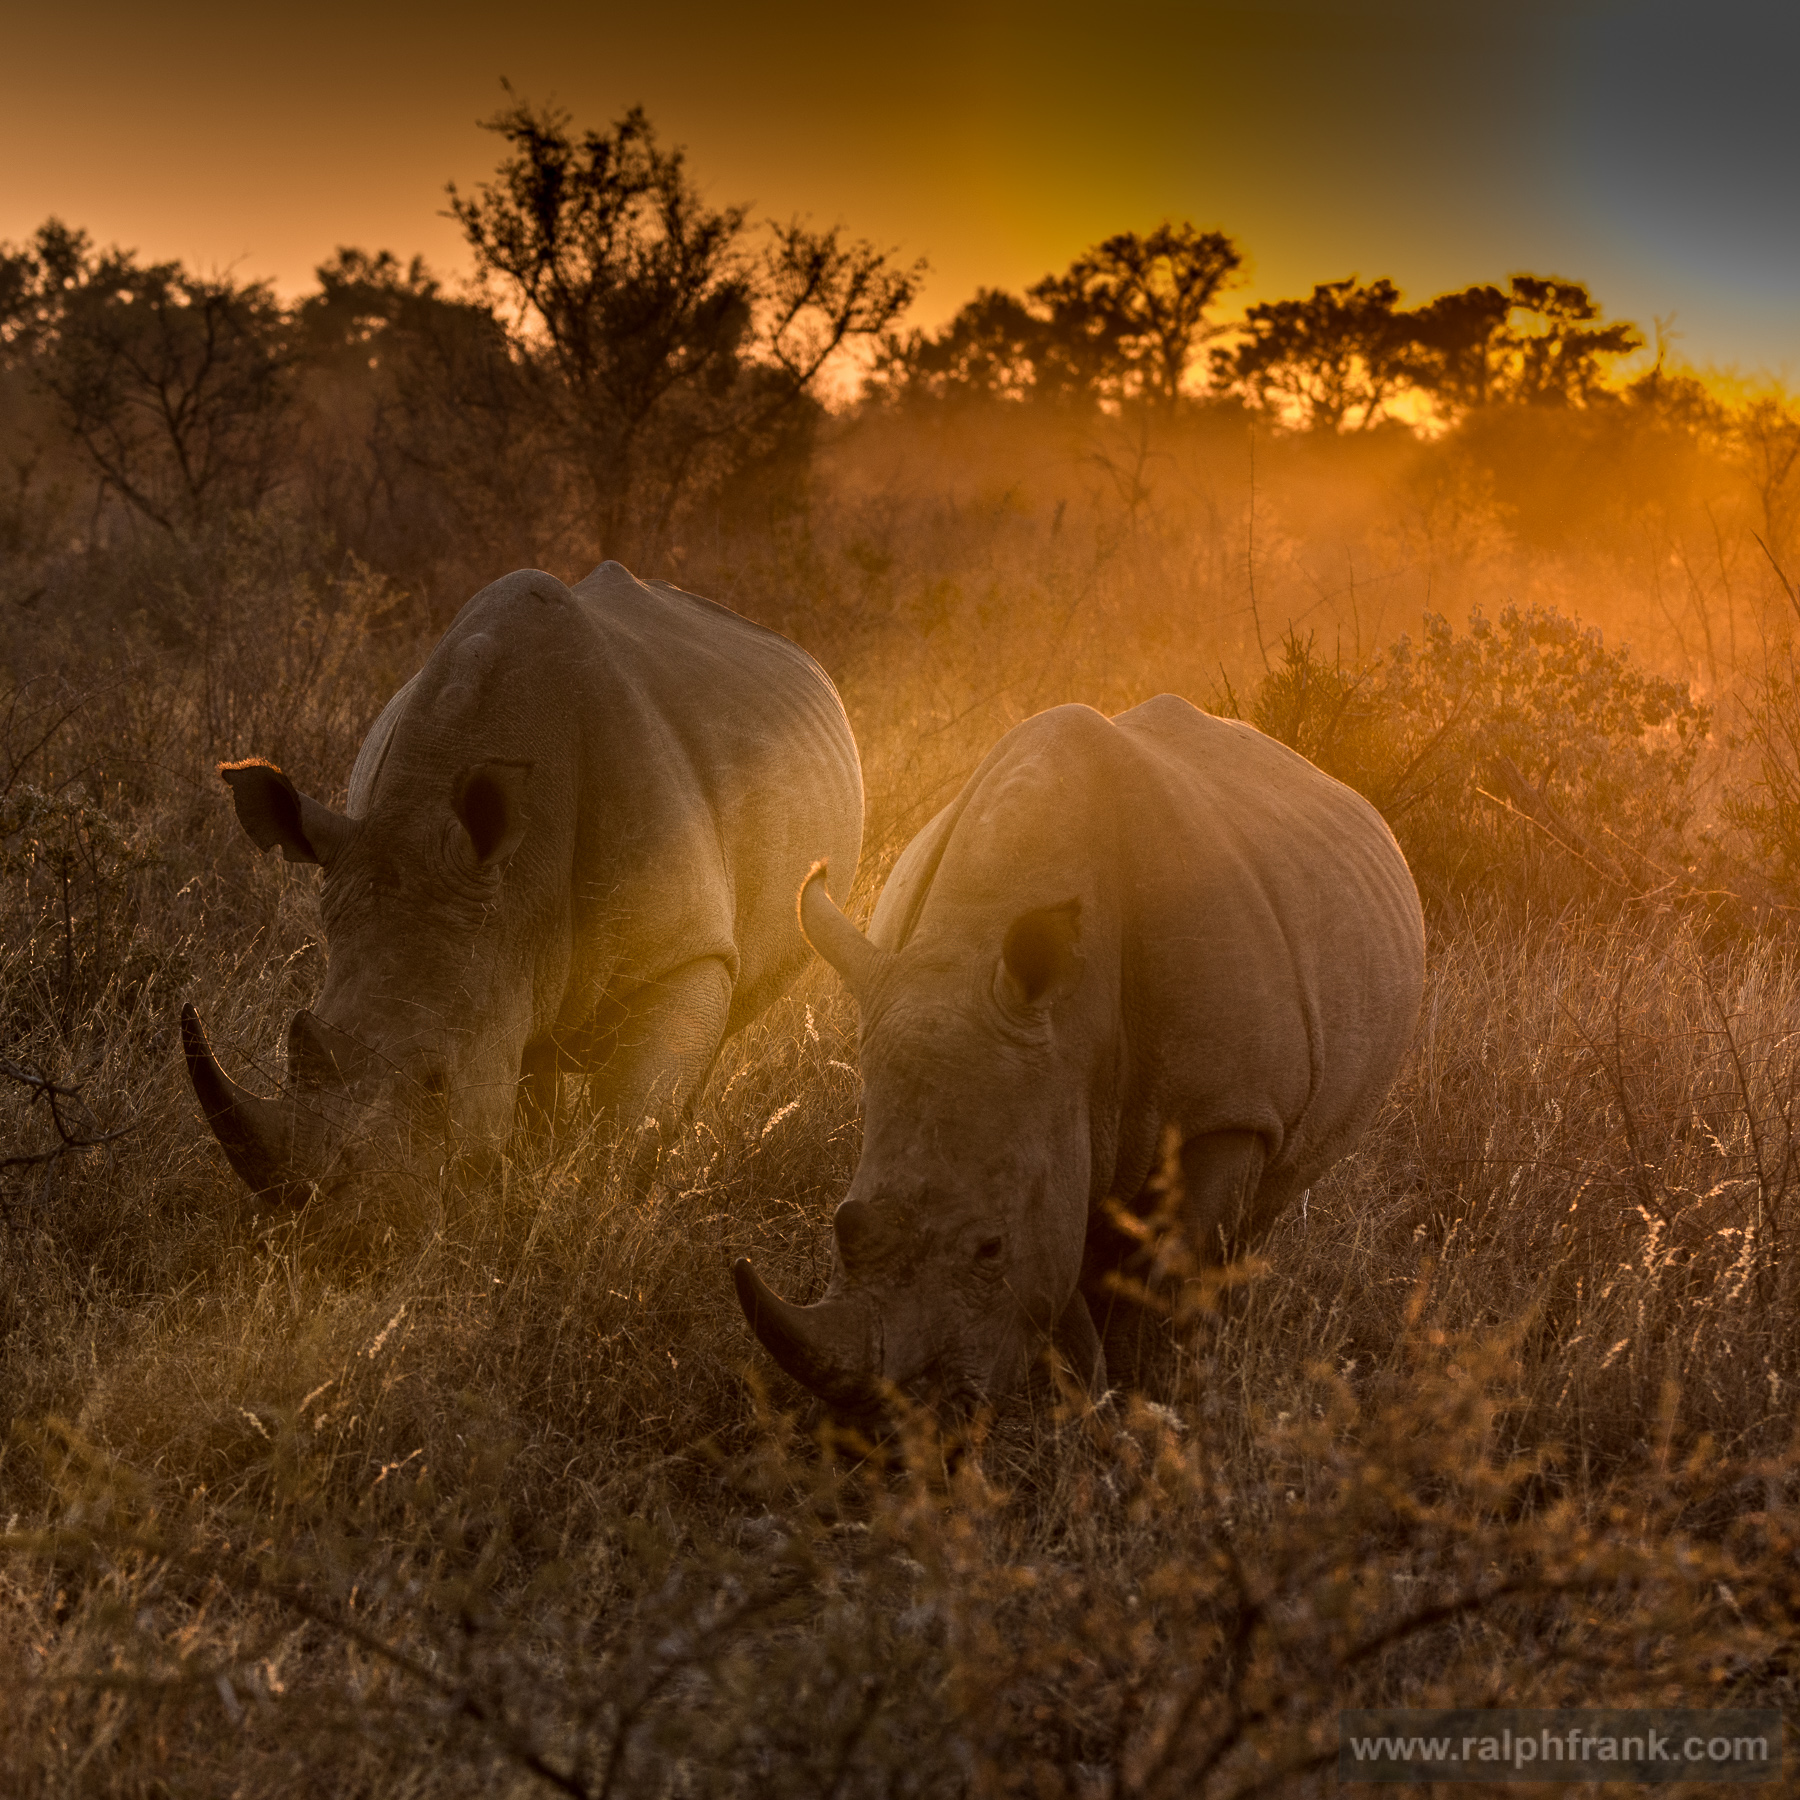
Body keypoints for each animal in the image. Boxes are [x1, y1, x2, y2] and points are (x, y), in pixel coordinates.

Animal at [183, 560, 863, 1210]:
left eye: (437, 1085)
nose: (334, 1236)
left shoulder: (683, 953)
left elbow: (627, 1127)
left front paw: (595, 1218)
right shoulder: (504, 947)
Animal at [734, 695, 1424, 1411]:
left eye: (990, 1249)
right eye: (840, 1231)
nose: (901, 1419)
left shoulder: (1228, 1108)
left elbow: (1172, 1262)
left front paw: (1156, 1394)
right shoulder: (1049, 1099)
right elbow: (1059, 1266)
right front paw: (1090, 1399)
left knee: (1258, 1206)